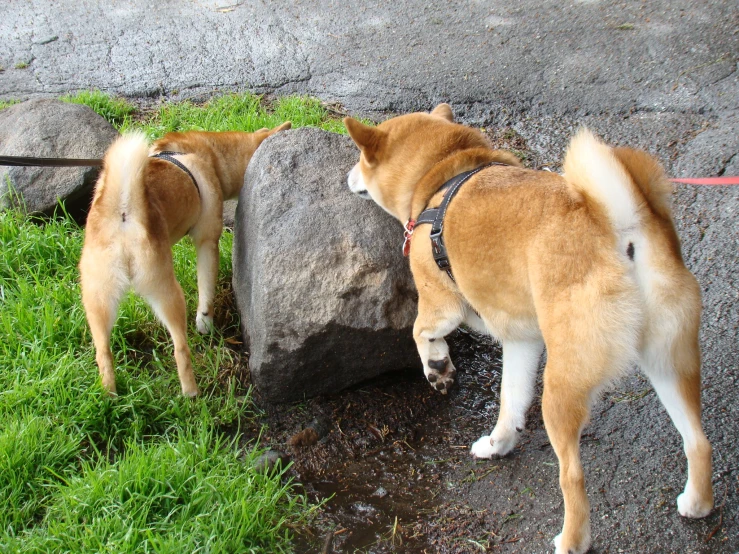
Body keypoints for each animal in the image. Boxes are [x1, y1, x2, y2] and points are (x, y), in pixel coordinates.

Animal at [79, 123, 290, 394]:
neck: (208, 155)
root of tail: (124, 214)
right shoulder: (207, 242)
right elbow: (206, 293)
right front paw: (206, 323)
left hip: (97, 302)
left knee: (103, 353)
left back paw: (110, 395)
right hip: (168, 295)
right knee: (180, 349)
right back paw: (192, 393)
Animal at [344, 103, 712, 552]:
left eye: (361, 160)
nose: (348, 176)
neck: (442, 173)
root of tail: (621, 231)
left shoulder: (440, 303)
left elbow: (421, 333)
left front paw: (438, 367)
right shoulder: (520, 341)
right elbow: (511, 401)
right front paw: (499, 443)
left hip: (562, 389)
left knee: (572, 476)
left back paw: (571, 539)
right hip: (669, 364)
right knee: (698, 442)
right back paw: (698, 502)